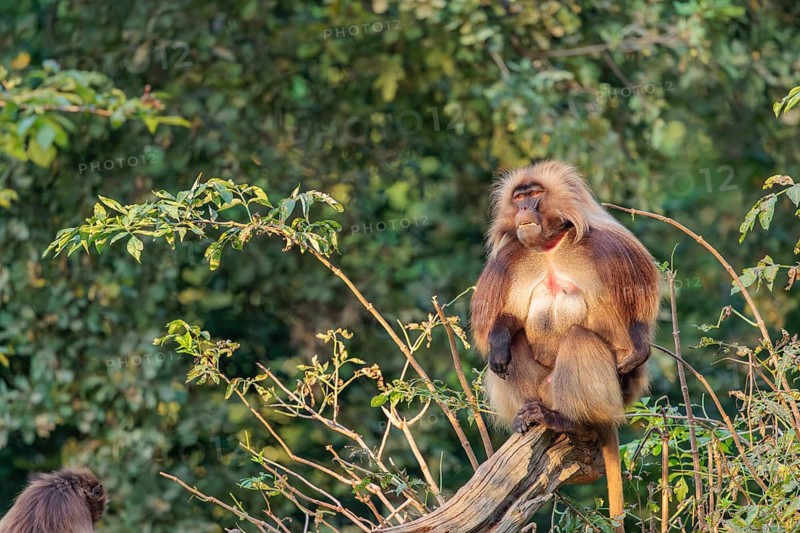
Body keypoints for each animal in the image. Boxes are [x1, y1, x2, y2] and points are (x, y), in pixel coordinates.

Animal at [471, 161, 659, 532]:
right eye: (519, 198)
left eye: (534, 194)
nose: (524, 211)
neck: (548, 248)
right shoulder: (510, 258)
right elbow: (506, 324)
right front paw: (497, 341)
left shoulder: (608, 245)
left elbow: (637, 303)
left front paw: (639, 344)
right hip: (544, 387)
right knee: (512, 348)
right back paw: (529, 414)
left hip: (614, 391)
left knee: (578, 338)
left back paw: (571, 421)